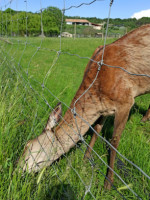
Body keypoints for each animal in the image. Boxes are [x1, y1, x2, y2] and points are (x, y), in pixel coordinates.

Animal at [20, 25, 150, 189]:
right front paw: (85, 158)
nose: (16, 170)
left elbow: (114, 141)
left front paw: (108, 183)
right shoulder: (104, 108)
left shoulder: (125, 101)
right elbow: (96, 129)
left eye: (28, 145)